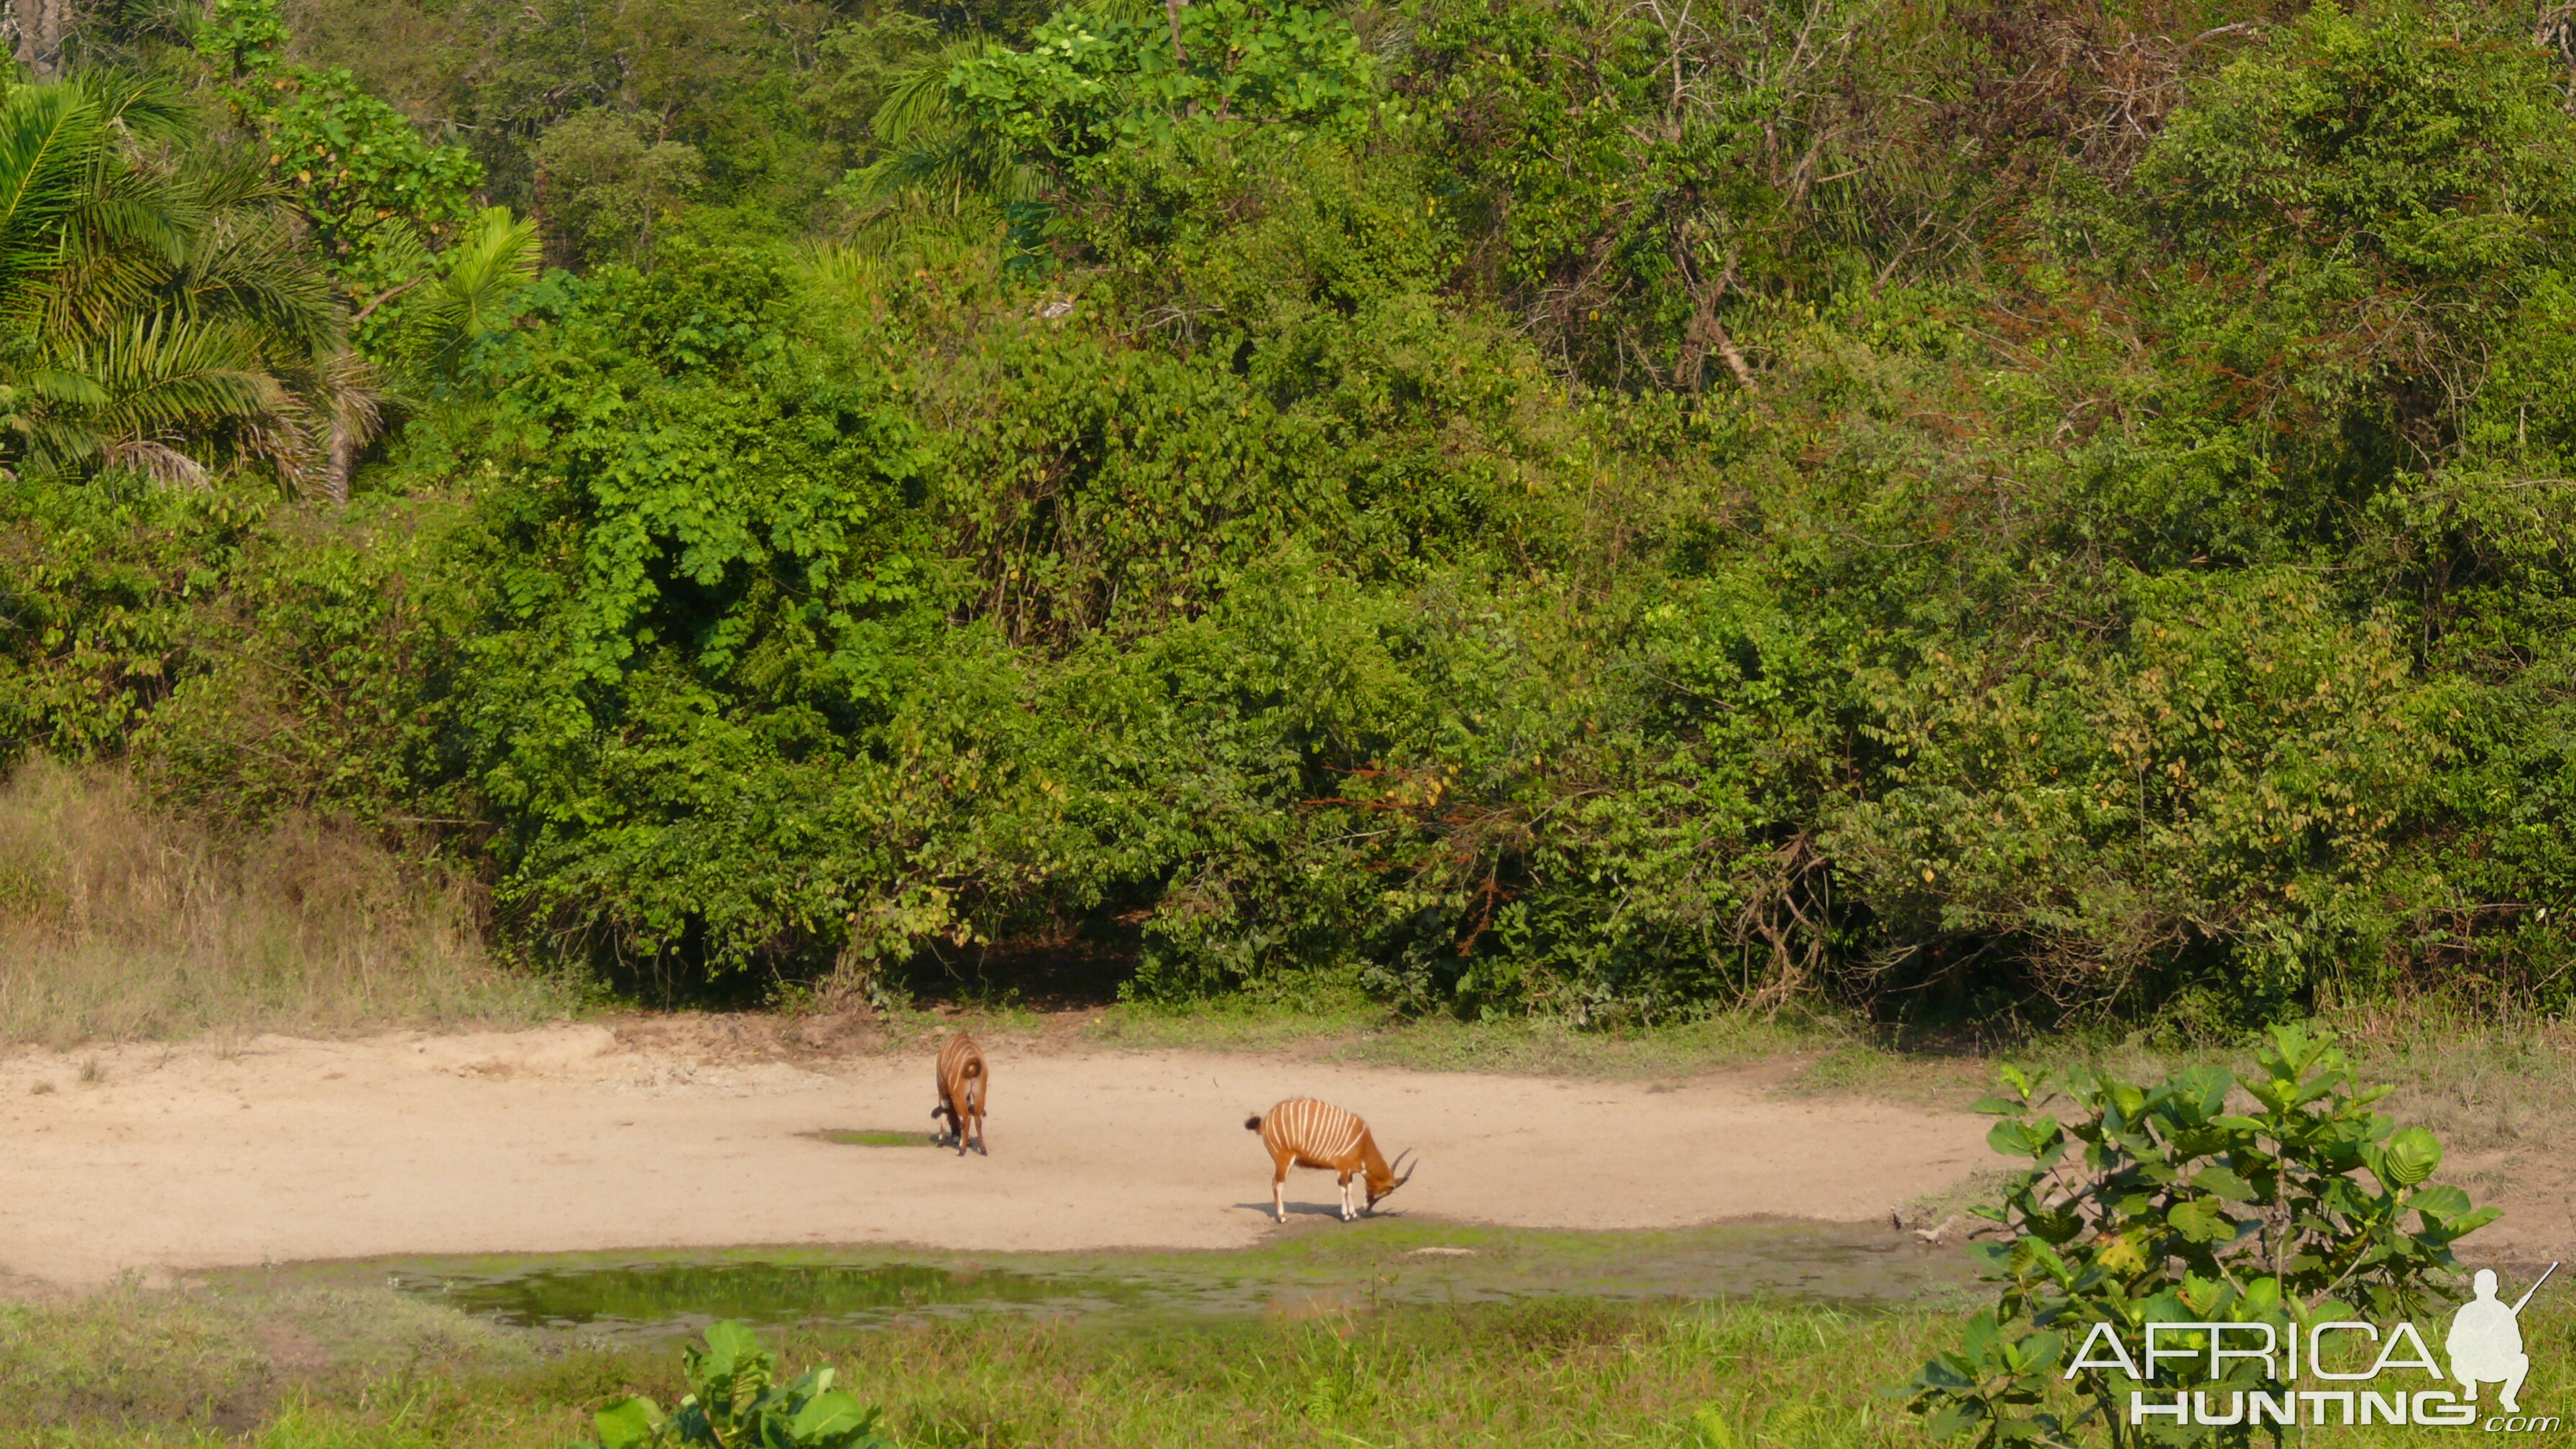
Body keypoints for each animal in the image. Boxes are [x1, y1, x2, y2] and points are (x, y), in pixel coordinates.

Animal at [937, 1026, 984, 1149]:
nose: (955, 1134)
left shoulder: (943, 1090)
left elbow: (944, 1111)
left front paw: (940, 1141)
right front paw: (967, 1141)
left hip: (957, 1094)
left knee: (965, 1117)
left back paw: (961, 1150)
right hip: (979, 1093)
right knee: (978, 1116)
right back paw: (983, 1149)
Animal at [1241, 1092, 1412, 1217]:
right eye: (1384, 1192)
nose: (1366, 1208)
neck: (1362, 1142)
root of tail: (1265, 1122)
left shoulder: (1348, 1170)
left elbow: (1349, 1188)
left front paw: (1353, 1214)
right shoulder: (1341, 1168)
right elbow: (1344, 1188)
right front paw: (1346, 1216)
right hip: (1284, 1161)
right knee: (1276, 1183)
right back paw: (1282, 1217)